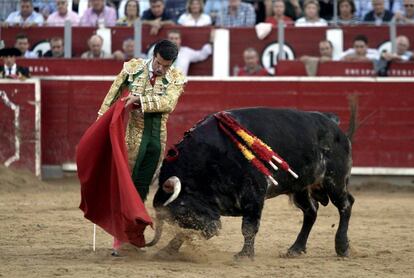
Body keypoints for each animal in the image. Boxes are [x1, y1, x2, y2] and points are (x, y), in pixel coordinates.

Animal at [146, 107, 356, 260]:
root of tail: (332, 122)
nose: (211, 231)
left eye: (182, 208)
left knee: (345, 205)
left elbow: (248, 227)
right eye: (174, 217)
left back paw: (342, 247)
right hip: (300, 188)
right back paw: (295, 248)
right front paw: (168, 250)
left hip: (334, 180)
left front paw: (245, 255)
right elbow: (185, 232)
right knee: (311, 212)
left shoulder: (254, 194)